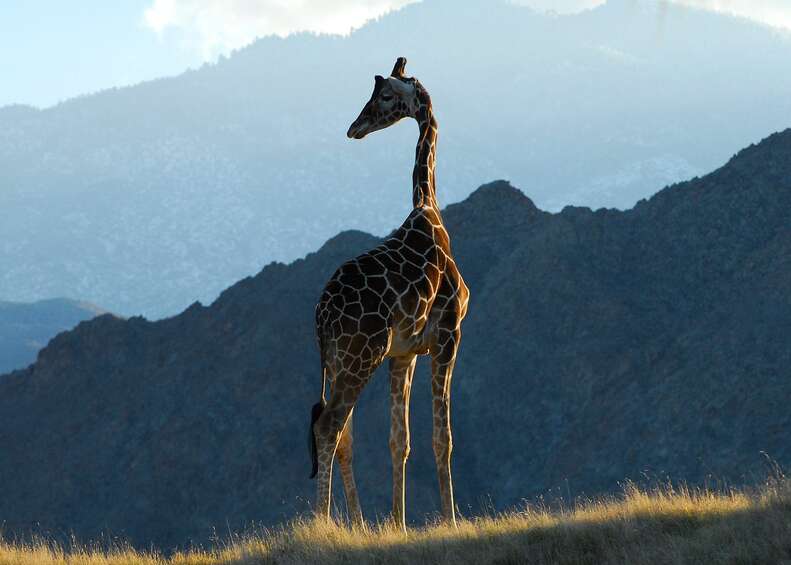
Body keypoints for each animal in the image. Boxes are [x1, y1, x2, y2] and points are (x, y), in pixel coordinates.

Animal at [310, 57, 470, 528]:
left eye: (383, 96)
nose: (354, 127)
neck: (427, 205)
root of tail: (321, 319)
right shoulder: (448, 335)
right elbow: (442, 436)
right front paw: (451, 519)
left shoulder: (404, 352)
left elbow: (399, 440)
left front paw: (398, 522)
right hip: (360, 357)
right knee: (329, 425)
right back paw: (323, 521)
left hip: (339, 362)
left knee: (342, 433)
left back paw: (357, 522)